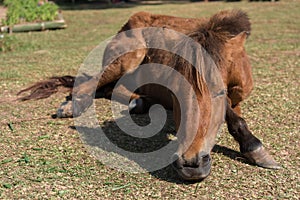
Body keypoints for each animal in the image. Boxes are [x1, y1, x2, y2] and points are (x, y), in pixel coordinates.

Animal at [18, 9, 282, 181]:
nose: (191, 165)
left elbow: (232, 113)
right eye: (175, 91)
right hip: (127, 58)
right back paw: (71, 106)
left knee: (111, 89)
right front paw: (253, 146)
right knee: (89, 83)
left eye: (218, 91)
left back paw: (140, 103)